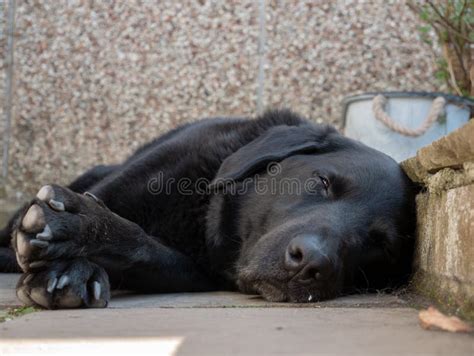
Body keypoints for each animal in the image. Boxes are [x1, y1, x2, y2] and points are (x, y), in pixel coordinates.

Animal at [0, 110, 414, 308]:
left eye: (381, 247)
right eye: (323, 182)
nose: (312, 262)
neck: (200, 211)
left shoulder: (194, 271)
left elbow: (144, 248)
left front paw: (76, 257)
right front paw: (73, 245)